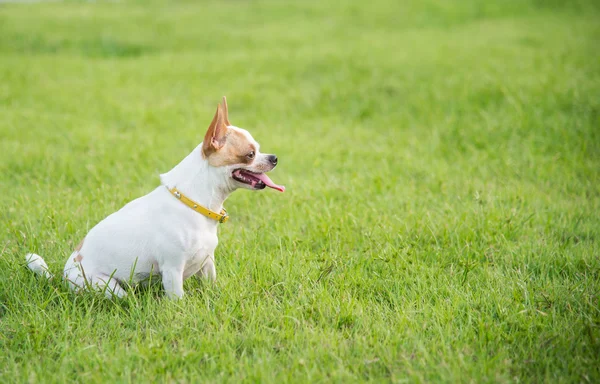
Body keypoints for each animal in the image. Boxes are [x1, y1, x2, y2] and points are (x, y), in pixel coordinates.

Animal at [24, 97, 284, 300]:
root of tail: (62, 277)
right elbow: (178, 299)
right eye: (250, 154)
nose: (274, 157)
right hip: (108, 287)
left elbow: (212, 284)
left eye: (259, 149)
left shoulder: (207, 262)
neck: (196, 204)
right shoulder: (173, 269)